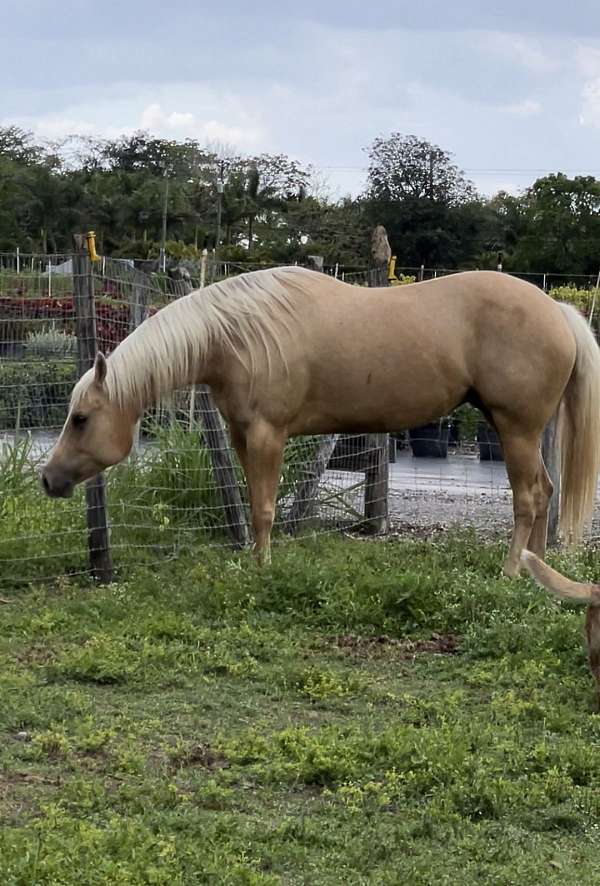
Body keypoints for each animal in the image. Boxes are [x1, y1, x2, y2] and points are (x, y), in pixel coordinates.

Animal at [40, 266, 600, 575]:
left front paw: (262, 569)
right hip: (519, 431)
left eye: (81, 418)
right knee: (546, 493)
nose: (47, 479)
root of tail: (556, 309)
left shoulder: (268, 435)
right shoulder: (242, 437)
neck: (236, 335)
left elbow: (265, 509)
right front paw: (254, 561)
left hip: (516, 429)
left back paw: (510, 571)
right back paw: (535, 568)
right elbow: (253, 502)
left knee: (529, 498)